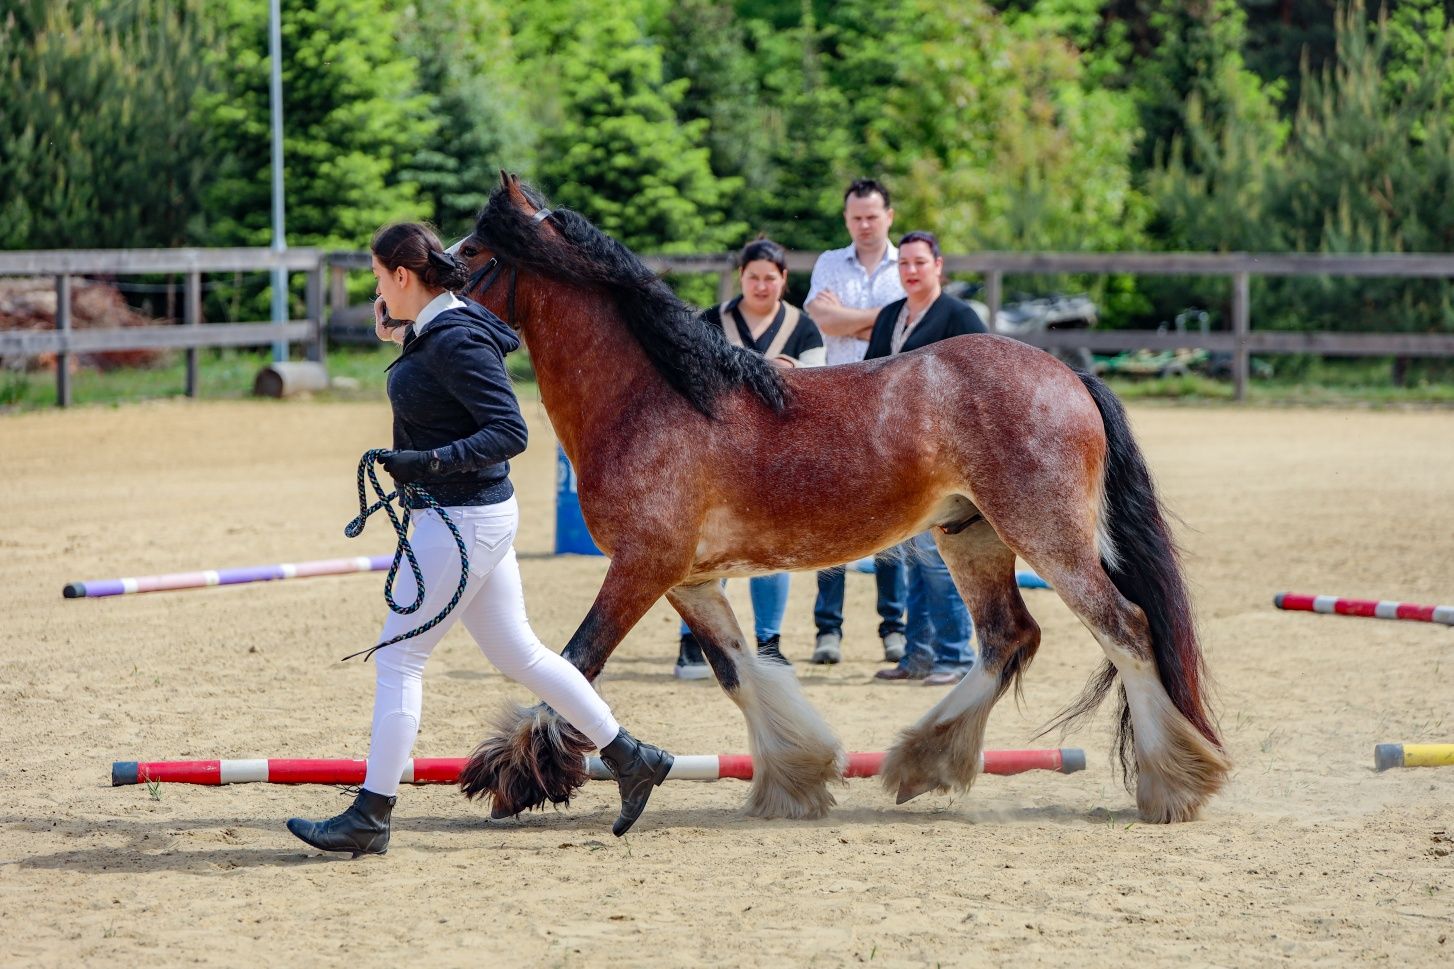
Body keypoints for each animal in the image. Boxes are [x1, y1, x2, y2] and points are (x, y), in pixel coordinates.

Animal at [453, 173, 1227, 820]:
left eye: (471, 253)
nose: (418, 299)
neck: (657, 400)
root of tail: (1069, 377)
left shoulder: (643, 567)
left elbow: (574, 660)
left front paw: (513, 774)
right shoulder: (689, 580)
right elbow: (739, 672)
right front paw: (796, 779)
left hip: (1048, 538)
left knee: (1126, 628)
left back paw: (1172, 785)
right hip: (970, 535)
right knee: (1009, 637)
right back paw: (922, 763)